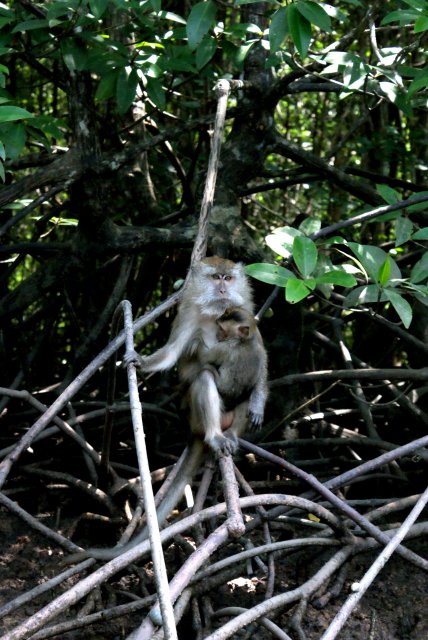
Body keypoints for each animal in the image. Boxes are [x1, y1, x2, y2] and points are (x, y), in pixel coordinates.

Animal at [130, 256, 268, 456]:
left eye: (228, 278)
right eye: (216, 277)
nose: (223, 290)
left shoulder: (246, 312)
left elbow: (262, 357)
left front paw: (258, 404)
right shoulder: (188, 314)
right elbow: (172, 351)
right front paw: (141, 361)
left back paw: (232, 433)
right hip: (193, 418)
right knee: (205, 377)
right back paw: (214, 436)